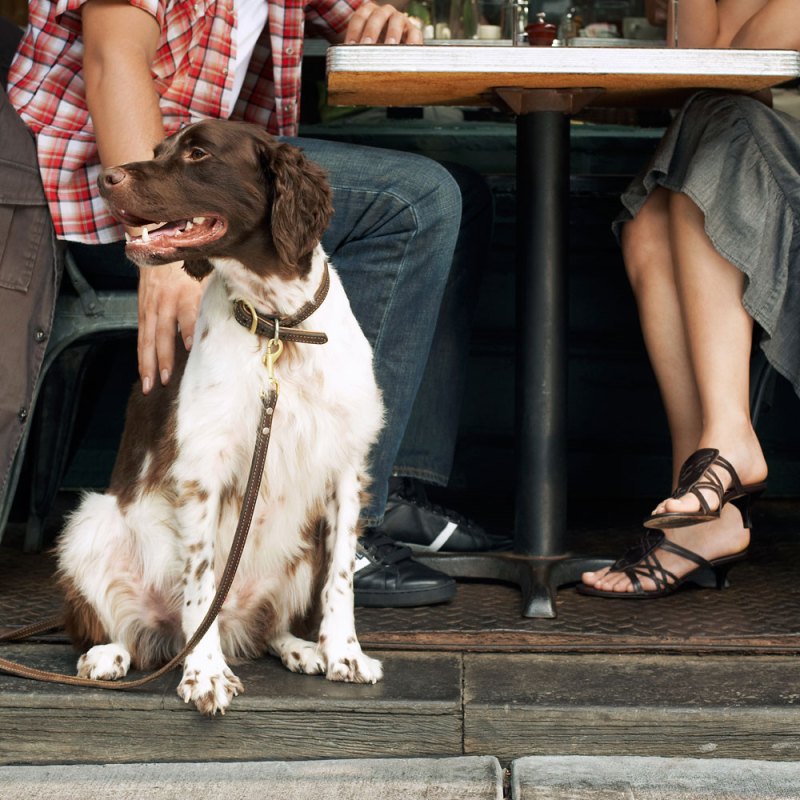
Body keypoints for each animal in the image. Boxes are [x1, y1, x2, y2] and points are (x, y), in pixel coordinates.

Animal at [56, 117, 384, 712]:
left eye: (198, 153)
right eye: (159, 149)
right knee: (126, 632)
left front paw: (344, 654)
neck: (279, 326)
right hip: (90, 523)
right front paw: (205, 673)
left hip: (300, 553)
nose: (105, 177)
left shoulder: (348, 468)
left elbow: (342, 578)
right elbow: (203, 582)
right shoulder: (202, 472)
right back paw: (109, 656)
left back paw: (300, 648)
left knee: (264, 628)